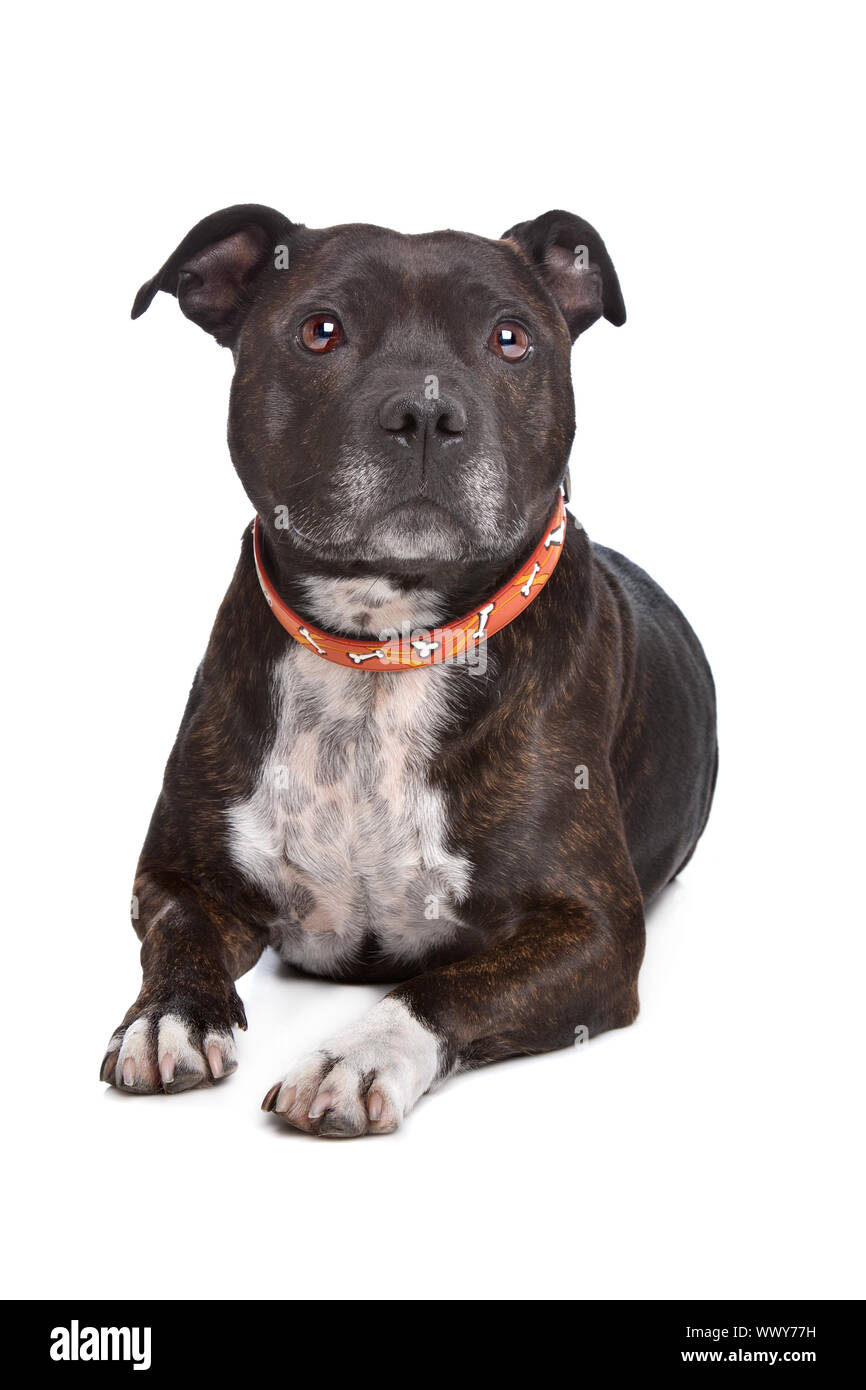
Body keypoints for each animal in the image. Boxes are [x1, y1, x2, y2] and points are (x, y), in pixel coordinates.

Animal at [100, 208, 717, 1139]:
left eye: (510, 338)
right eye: (320, 331)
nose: (426, 410)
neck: (380, 650)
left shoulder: (591, 930)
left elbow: (440, 987)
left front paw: (355, 1057)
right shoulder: (177, 875)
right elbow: (178, 936)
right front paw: (170, 1016)